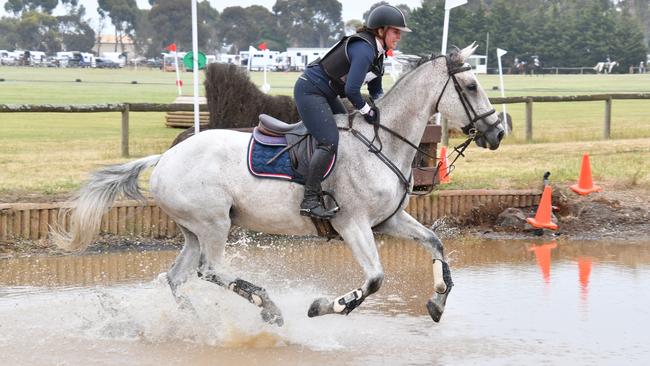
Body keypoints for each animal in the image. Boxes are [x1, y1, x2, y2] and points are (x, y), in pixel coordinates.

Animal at [55, 43, 502, 326]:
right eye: (472, 86)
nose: (497, 133)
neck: (383, 141)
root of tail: (164, 158)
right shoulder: (353, 225)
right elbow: (374, 280)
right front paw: (326, 306)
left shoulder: (387, 221)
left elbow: (436, 244)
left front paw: (437, 301)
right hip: (214, 223)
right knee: (210, 270)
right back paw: (266, 305)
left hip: (194, 230)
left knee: (179, 278)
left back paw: (197, 322)